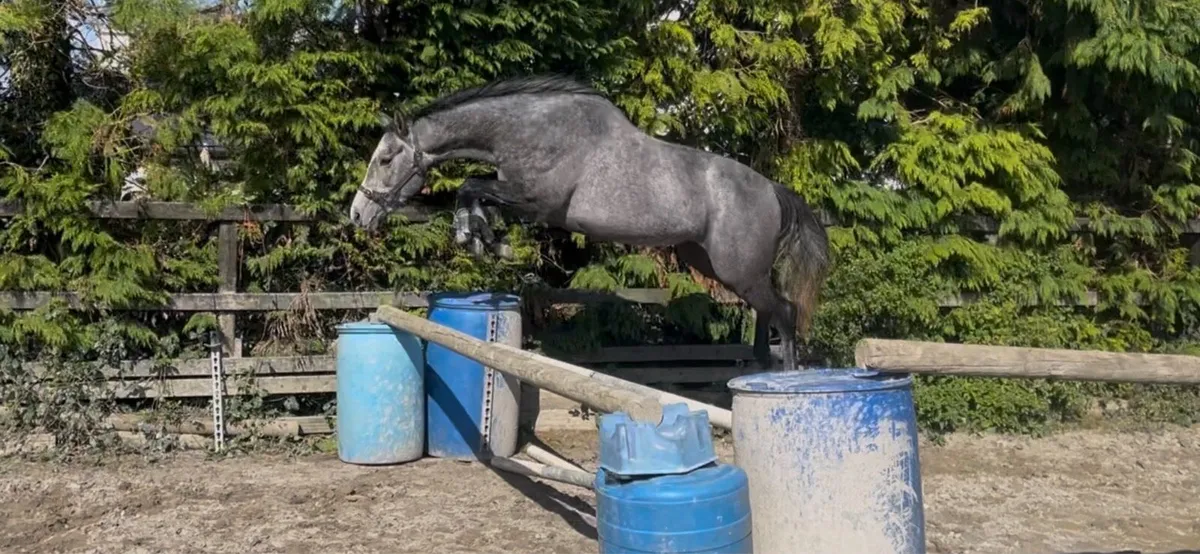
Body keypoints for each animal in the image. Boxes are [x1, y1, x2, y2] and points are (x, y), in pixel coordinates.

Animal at [348, 75, 830, 371]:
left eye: (386, 159)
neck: (526, 129)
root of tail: (772, 189)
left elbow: (469, 185)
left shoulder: (537, 201)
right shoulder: (520, 197)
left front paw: (481, 237)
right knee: (768, 312)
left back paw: (786, 379)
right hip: (714, 264)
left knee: (785, 312)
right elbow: (471, 194)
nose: (358, 213)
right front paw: (480, 235)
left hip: (737, 269)